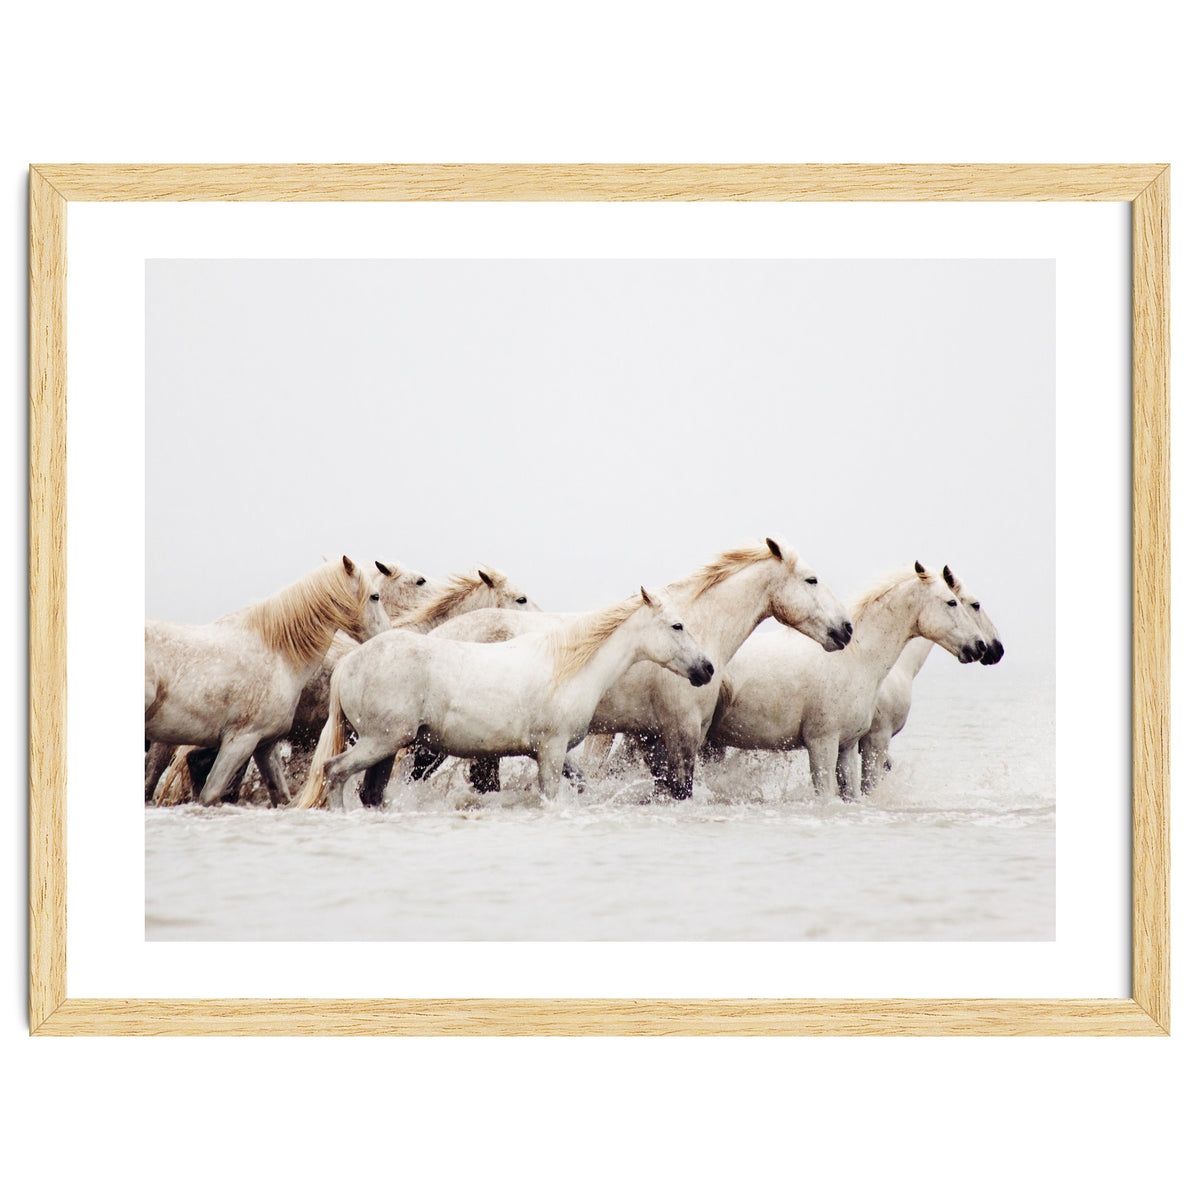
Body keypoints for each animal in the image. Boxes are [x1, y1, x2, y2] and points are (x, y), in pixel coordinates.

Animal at [144, 556, 390, 807]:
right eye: (375, 596)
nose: (387, 634)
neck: (278, 654)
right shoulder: (240, 741)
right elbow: (210, 794)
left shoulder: (264, 744)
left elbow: (280, 795)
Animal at [294, 587, 715, 809]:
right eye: (677, 626)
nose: (707, 669)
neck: (567, 666)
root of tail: (349, 662)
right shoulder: (551, 749)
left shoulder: (553, 753)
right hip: (381, 741)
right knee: (335, 771)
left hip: (387, 746)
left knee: (370, 792)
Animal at [414, 537, 854, 799]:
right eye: (812, 580)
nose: (846, 629)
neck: (697, 627)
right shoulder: (681, 733)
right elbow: (680, 789)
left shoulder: (653, 737)